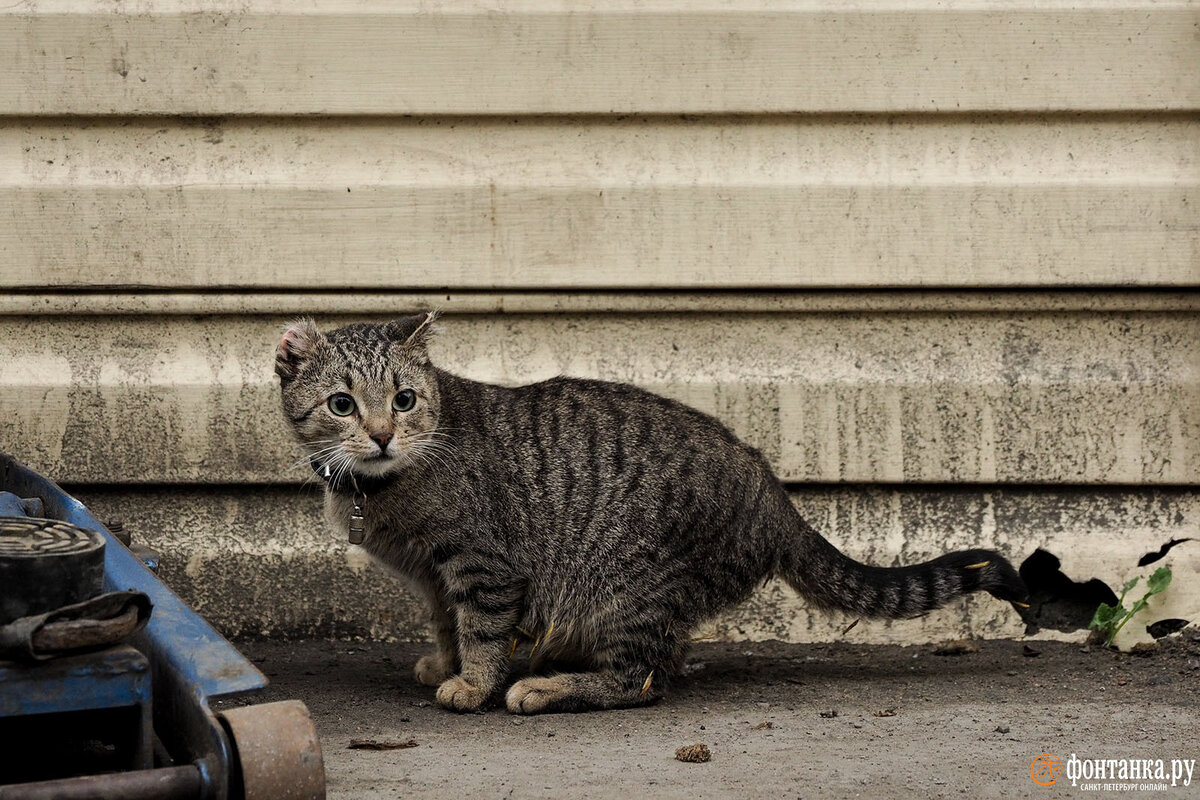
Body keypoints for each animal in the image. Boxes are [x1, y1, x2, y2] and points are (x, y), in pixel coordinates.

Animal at [276, 311, 1027, 714]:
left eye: (403, 400)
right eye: (343, 405)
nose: (381, 434)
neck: (381, 489)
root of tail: (773, 491)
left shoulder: (483, 566)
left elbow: (483, 631)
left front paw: (475, 682)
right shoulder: (435, 577)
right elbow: (445, 624)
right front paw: (445, 661)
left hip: (623, 585)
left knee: (641, 679)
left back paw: (546, 688)